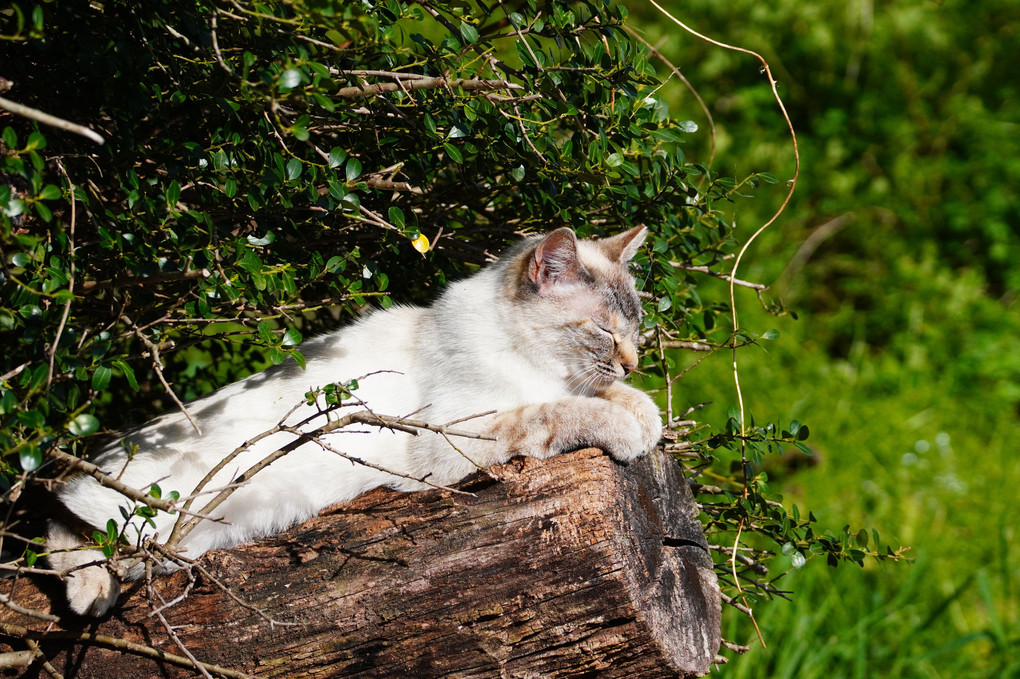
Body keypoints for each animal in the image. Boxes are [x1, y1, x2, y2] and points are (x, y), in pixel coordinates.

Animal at [49, 226, 660, 611]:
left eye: (635, 332)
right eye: (604, 331)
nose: (633, 360)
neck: (533, 359)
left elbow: (617, 399)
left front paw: (643, 413)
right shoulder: (449, 442)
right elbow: (559, 411)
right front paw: (627, 429)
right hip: (153, 507)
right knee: (67, 513)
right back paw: (91, 591)